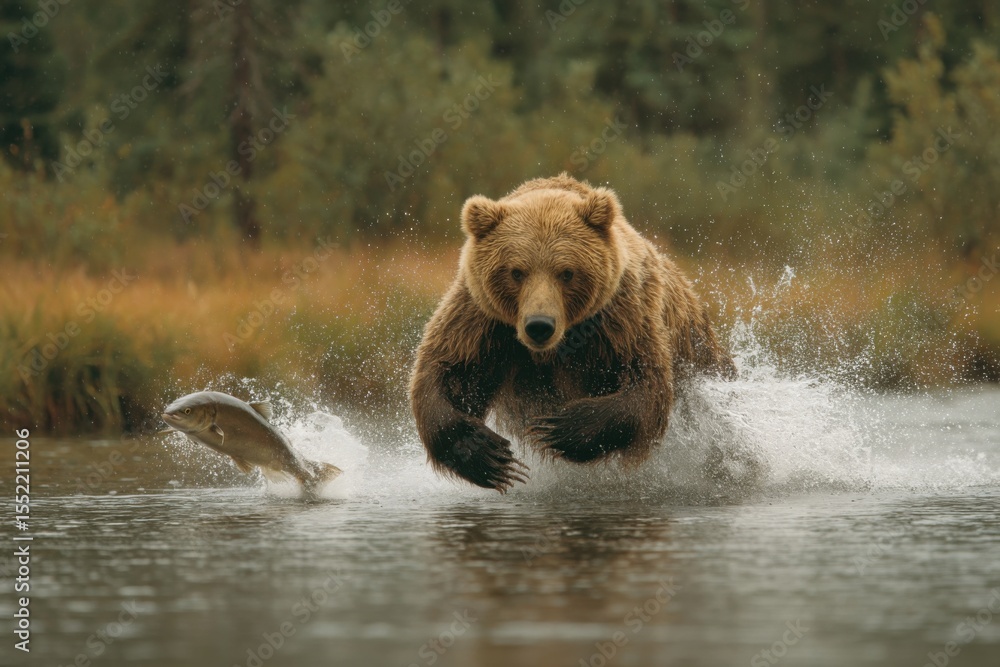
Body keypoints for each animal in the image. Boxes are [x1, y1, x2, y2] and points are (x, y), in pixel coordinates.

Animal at [409, 173, 735, 492]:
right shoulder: (483, 318)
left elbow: (645, 385)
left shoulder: (622, 316)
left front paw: (558, 428)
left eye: (567, 272)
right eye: (516, 272)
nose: (539, 325)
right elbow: (447, 371)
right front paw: (487, 454)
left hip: (701, 357)